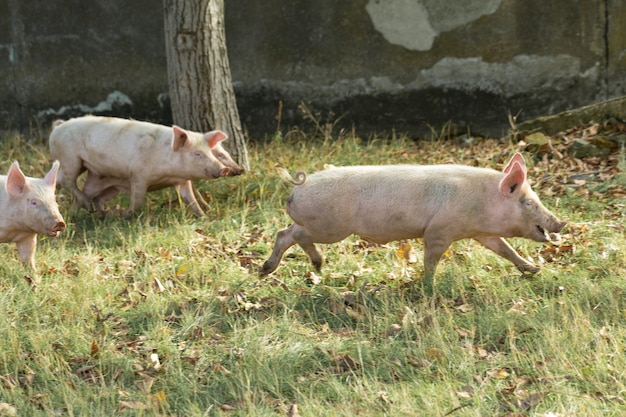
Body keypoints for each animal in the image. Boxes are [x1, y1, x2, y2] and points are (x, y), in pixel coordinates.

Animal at [48, 116, 233, 216]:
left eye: (210, 152)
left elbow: (190, 198)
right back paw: (90, 208)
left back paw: (88, 214)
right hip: (70, 159)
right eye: (197, 153)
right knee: (69, 182)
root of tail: (58, 127)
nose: (224, 169)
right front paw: (127, 214)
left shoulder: (182, 180)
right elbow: (137, 200)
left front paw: (204, 215)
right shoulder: (138, 175)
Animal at [260, 153, 564, 292]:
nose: (560, 223)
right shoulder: (439, 230)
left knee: (286, 233)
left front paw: (534, 269)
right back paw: (310, 265)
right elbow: (432, 258)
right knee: (292, 234)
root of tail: (297, 189)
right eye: (528, 203)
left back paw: (276, 270)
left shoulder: (481, 233)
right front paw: (428, 285)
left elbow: (505, 250)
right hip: (330, 227)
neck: (481, 202)